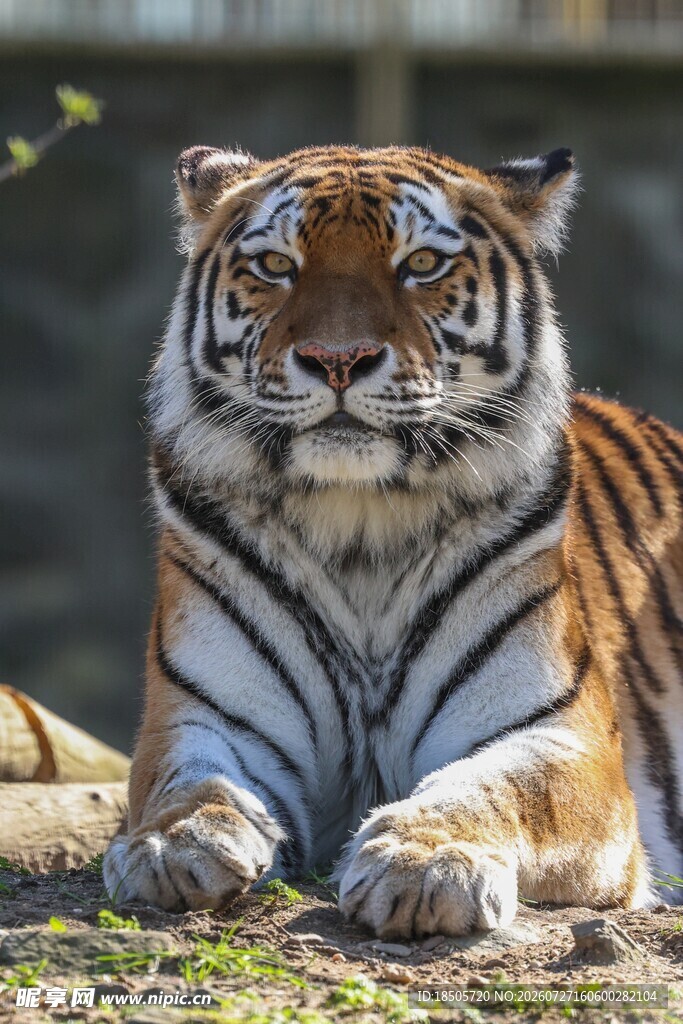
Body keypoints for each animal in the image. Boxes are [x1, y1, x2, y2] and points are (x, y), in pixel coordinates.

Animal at [103, 143, 683, 937]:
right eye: (277, 265)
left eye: (421, 265)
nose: (337, 358)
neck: (361, 527)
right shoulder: (201, 714)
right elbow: (188, 781)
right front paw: (173, 843)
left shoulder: (563, 740)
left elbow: (492, 789)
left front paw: (426, 862)